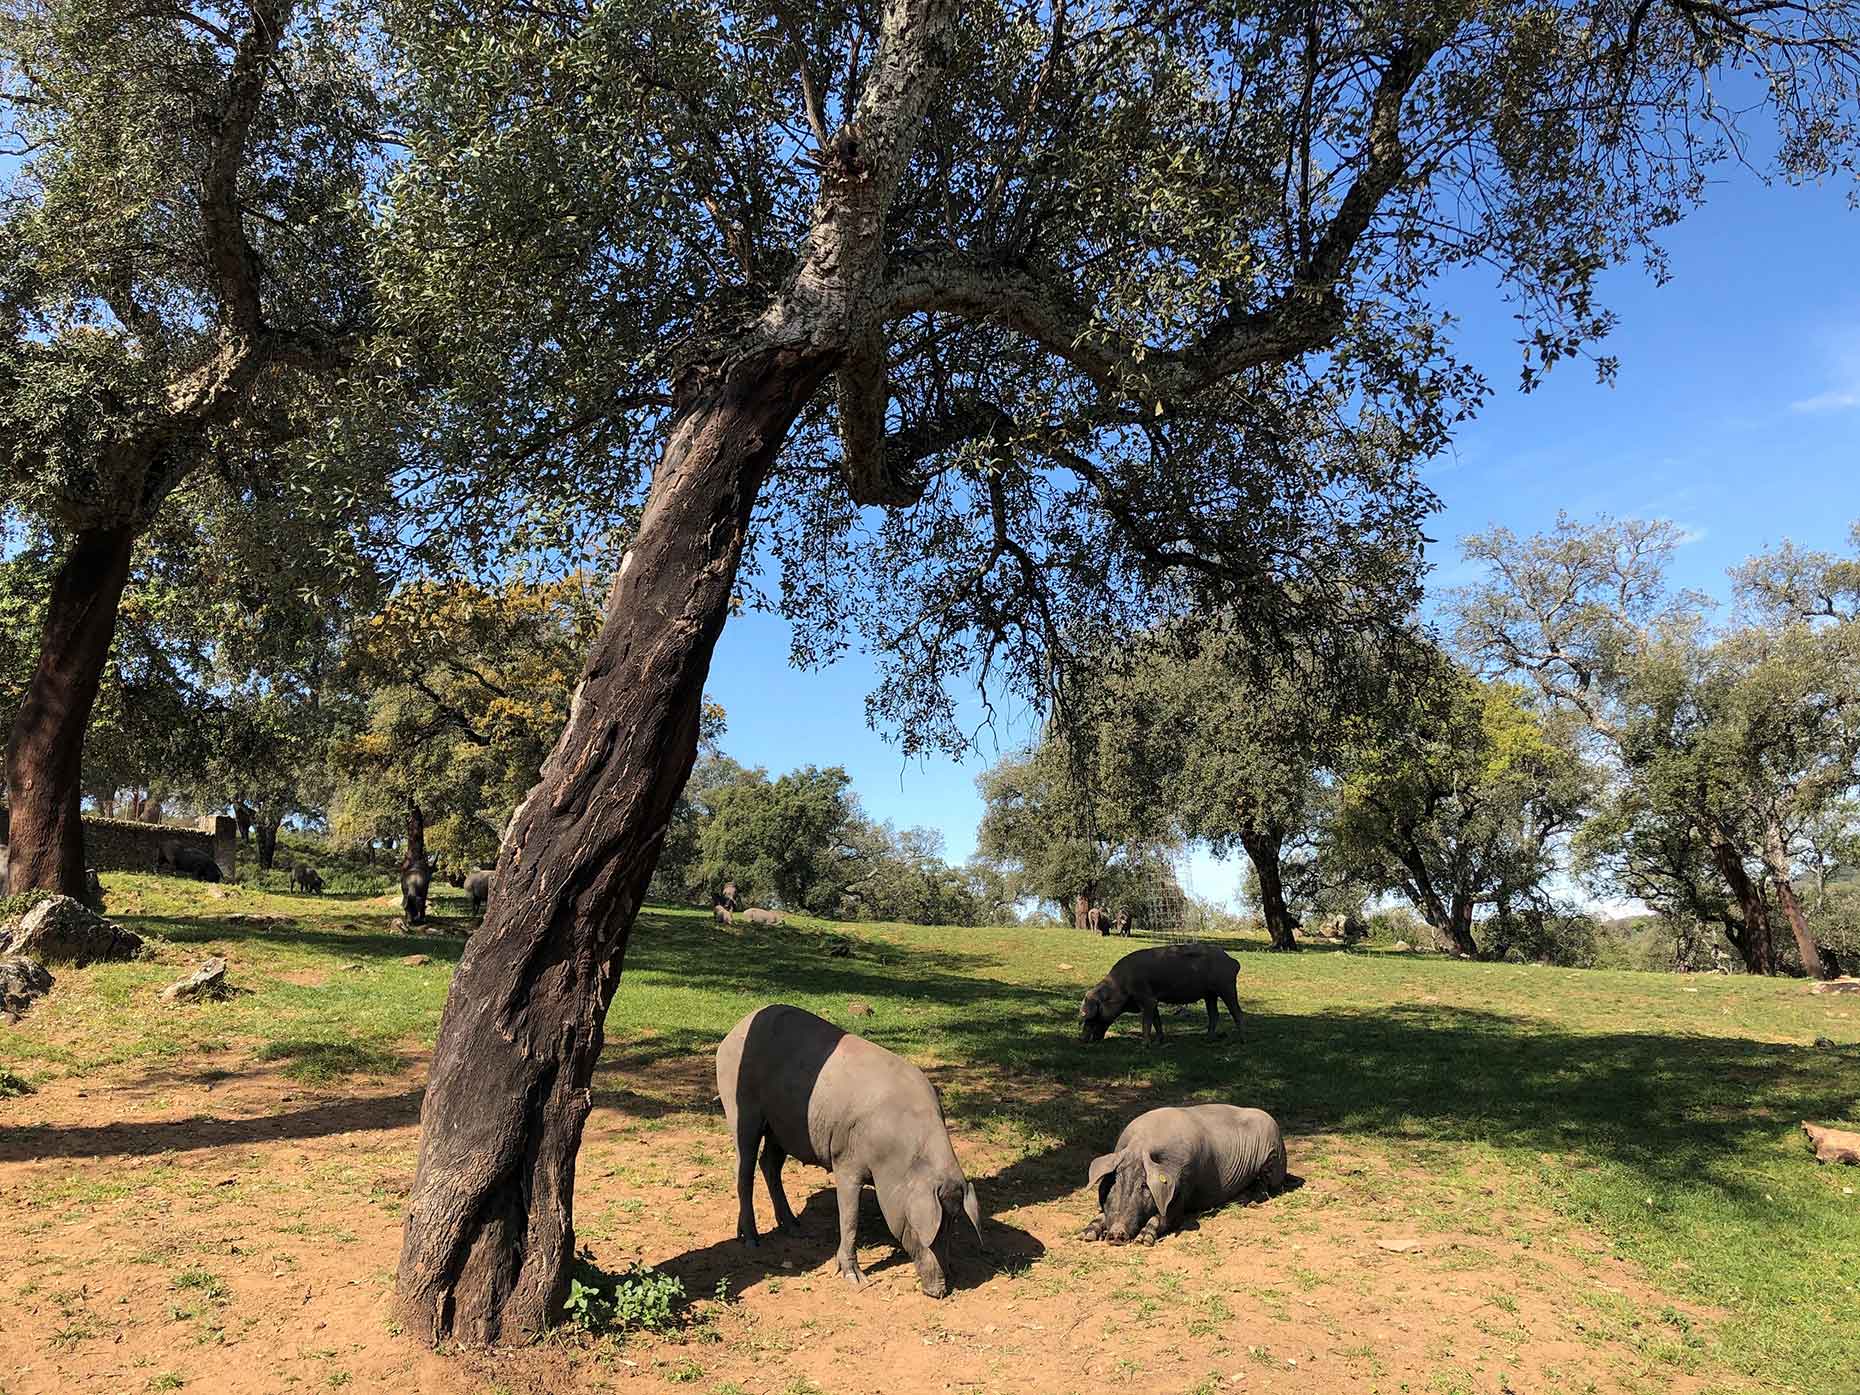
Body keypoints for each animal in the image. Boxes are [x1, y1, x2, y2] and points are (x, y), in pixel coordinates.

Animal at [714, 1004, 989, 1302]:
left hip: (781, 1126)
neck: (898, 1160)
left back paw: (795, 1228)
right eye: (923, 1231)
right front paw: (856, 1279)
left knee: (769, 1164)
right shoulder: (845, 1161)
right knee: (744, 1168)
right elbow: (850, 1217)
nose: (939, 1291)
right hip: (741, 1109)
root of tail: (732, 1033)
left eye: (952, 1225)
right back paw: (752, 1240)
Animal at [1086, 944, 1242, 1041]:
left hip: (1226, 987)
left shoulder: (1146, 998)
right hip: (1210, 994)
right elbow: (1156, 1020)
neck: (1120, 985)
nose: (1084, 1040)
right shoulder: (1153, 1000)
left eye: (1095, 1015)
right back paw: (1207, 1039)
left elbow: (1146, 1022)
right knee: (1214, 1014)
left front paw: (1144, 1045)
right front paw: (1159, 1041)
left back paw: (1241, 1040)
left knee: (1237, 1012)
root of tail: (1234, 961)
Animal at [1086, 1108, 1287, 1249]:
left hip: (1272, 1156)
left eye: (1143, 1185)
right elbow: (1102, 1213)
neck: (1140, 1144)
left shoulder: (1184, 1187)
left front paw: (1143, 1240)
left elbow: (1166, 1217)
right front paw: (1086, 1234)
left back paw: (1246, 1201)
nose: (1116, 1233)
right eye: (1114, 1182)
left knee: (1263, 1188)